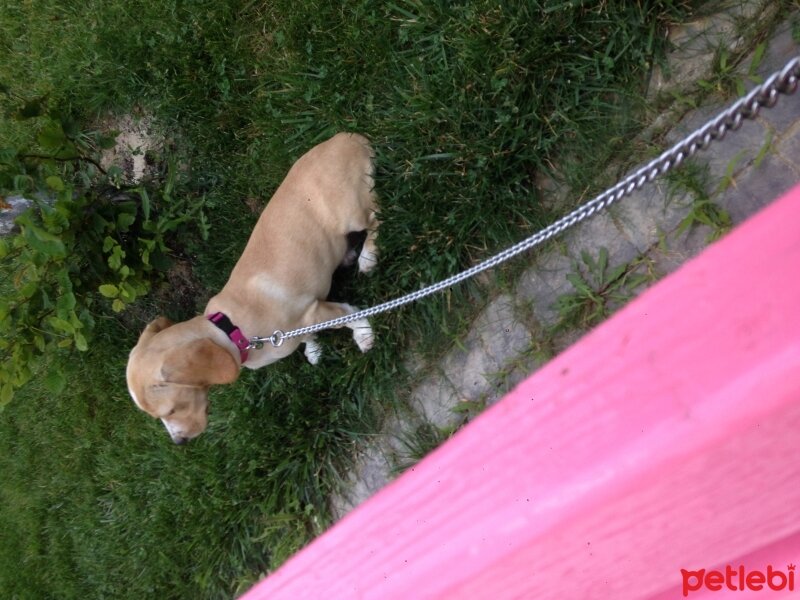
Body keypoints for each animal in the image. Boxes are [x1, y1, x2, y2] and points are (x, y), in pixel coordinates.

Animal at [126, 134, 382, 442]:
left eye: (172, 410)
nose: (179, 442)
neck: (231, 329)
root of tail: (347, 137)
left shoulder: (314, 312)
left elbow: (350, 316)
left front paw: (363, 335)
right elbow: (306, 338)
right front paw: (313, 348)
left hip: (352, 213)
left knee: (376, 219)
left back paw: (368, 255)